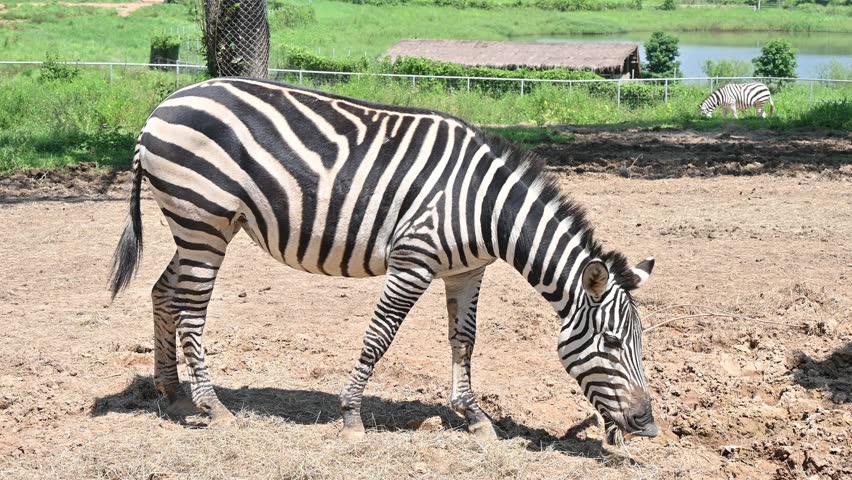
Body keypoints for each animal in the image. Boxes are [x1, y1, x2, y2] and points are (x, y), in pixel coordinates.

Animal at [109, 77, 659, 442]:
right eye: (613, 342)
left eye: (638, 343)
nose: (648, 425)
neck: (485, 208)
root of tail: (164, 105)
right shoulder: (413, 260)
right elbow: (380, 335)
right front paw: (351, 414)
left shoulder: (466, 271)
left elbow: (465, 341)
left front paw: (473, 416)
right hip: (202, 219)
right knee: (191, 309)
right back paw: (213, 406)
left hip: (201, 227)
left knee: (164, 292)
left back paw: (172, 393)